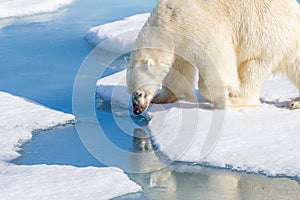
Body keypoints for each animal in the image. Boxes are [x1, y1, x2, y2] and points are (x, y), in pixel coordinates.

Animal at [126, 0, 300, 114]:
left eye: (139, 93)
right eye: (130, 91)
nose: (136, 110)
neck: (167, 20)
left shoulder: (190, 23)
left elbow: (217, 55)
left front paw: (221, 95)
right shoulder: (177, 44)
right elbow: (178, 70)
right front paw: (162, 97)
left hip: (267, 36)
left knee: (253, 69)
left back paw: (235, 100)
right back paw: (295, 102)